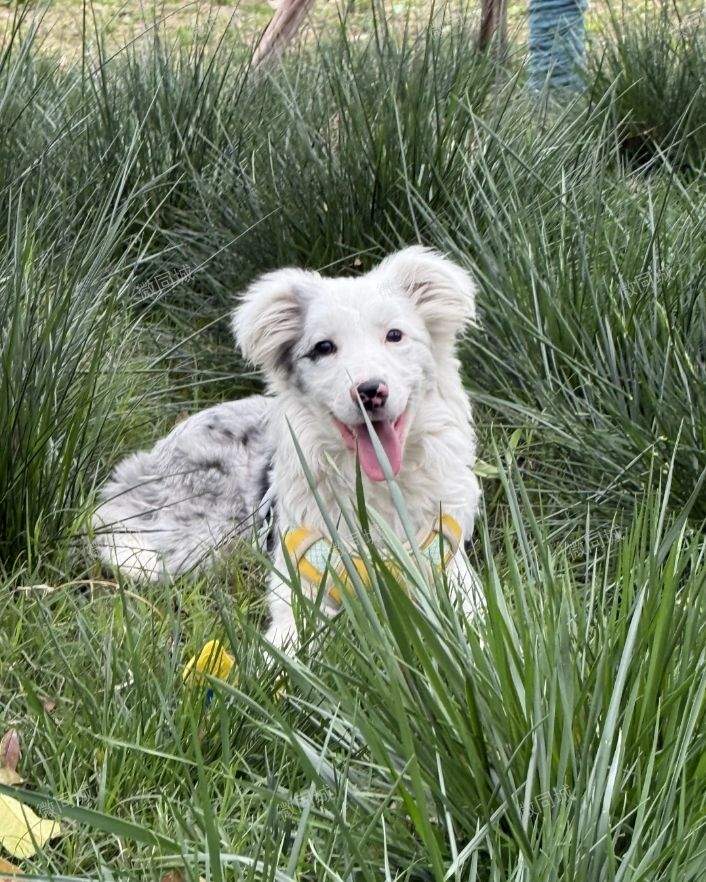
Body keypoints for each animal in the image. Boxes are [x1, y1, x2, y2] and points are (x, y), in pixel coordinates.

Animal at [94, 247, 482, 648]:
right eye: (323, 347)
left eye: (395, 335)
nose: (370, 391)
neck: (372, 495)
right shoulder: (300, 580)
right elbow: (291, 639)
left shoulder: (448, 568)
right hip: (197, 539)